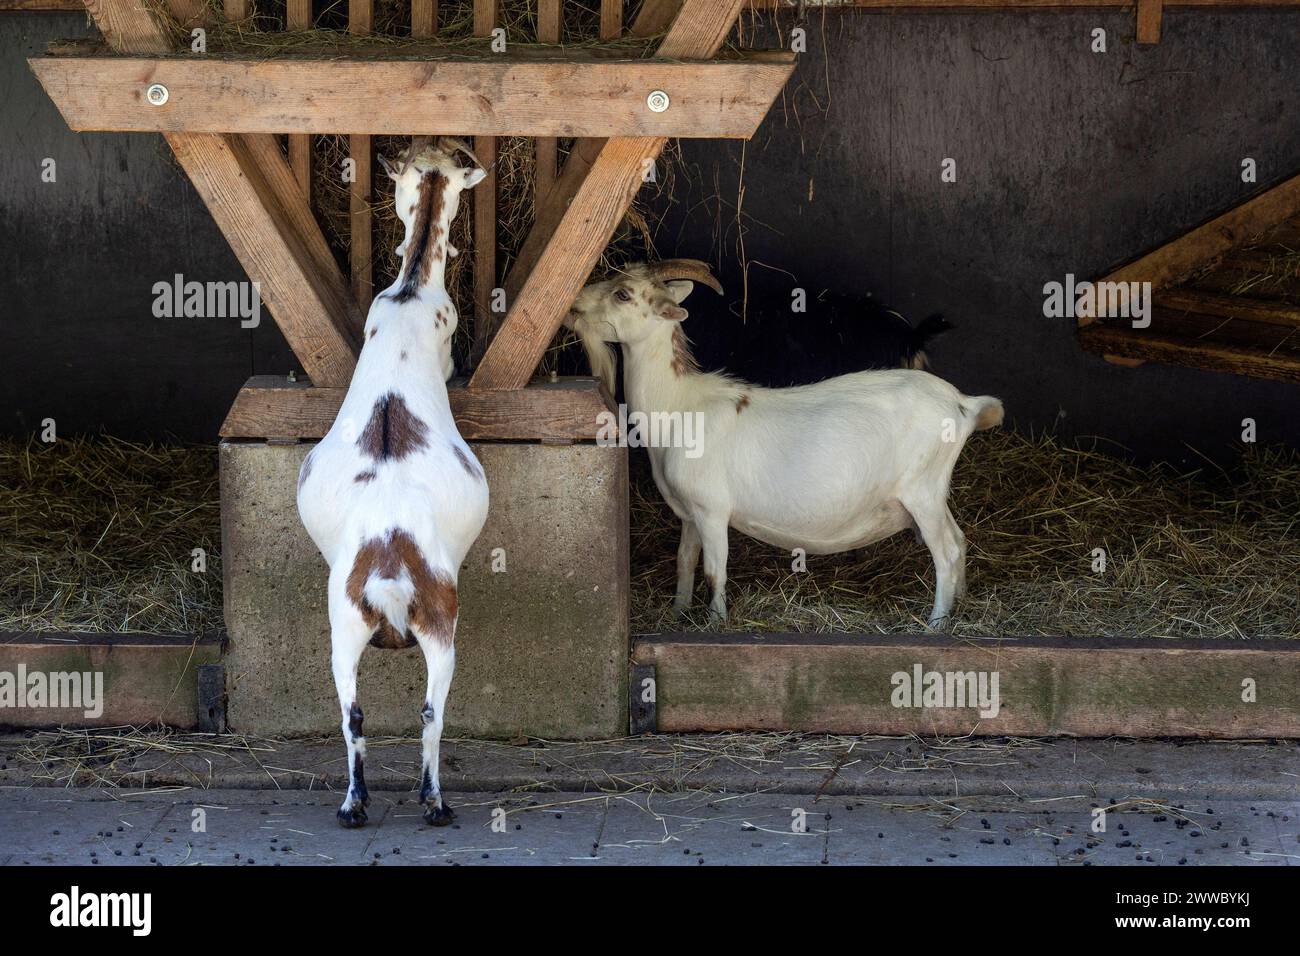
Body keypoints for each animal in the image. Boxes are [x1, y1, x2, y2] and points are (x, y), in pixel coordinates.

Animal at [297, 136, 488, 832]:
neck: (407, 297)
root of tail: (388, 567)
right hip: (442, 621)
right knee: (432, 712)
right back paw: (434, 802)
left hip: (342, 628)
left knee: (352, 714)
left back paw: (354, 804)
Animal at [569, 261, 1003, 632]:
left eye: (623, 293)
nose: (573, 307)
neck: (678, 405)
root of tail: (963, 404)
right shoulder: (689, 513)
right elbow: (684, 563)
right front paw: (677, 614)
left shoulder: (712, 510)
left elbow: (714, 572)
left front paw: (715, 624)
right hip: (933, 492)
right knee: (960, 540)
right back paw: (962, 606)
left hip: (921, 491)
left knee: (946, 552)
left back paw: (936, 625)